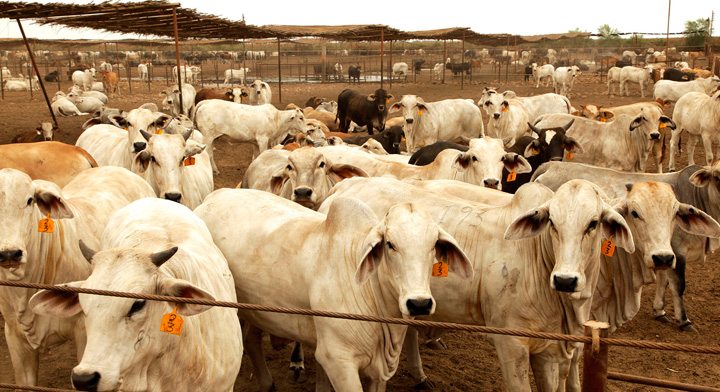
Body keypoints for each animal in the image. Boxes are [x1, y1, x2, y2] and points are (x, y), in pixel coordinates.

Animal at [195, 188, 472, 390]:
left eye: (434, 244)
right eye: (390, 245)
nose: (419, 303)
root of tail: (215, 195)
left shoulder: (377, 372)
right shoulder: (338, 360)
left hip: (260, 310)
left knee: (252, 339)